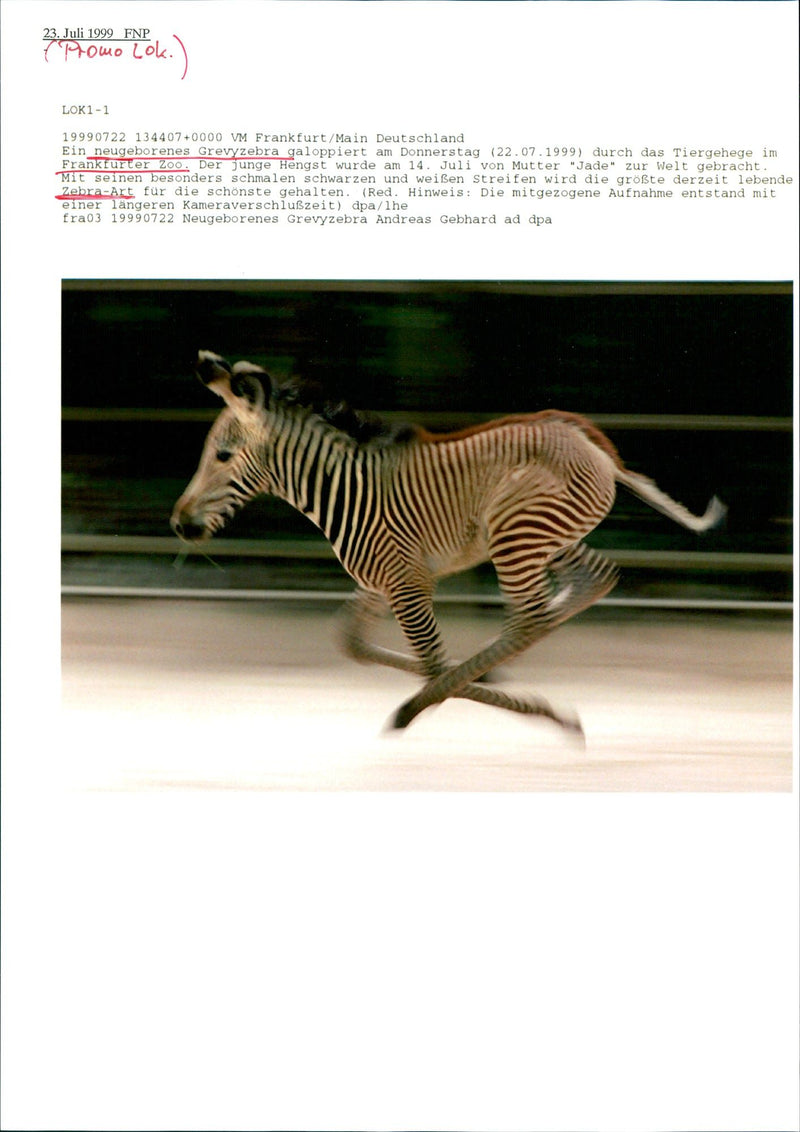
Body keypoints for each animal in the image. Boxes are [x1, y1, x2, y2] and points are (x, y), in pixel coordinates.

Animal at [171, 350, 726, 737]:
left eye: (222, 456)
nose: (179, 525)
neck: (346, 489)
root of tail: (591, 442)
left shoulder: (407, 582)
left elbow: (432, 664)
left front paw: (430, 702)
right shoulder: (385, 579)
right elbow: (352, 641)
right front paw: (479, 680)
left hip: (516, 532)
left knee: (530, 618)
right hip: (544, 535)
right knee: (590, 580)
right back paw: (498, 664)